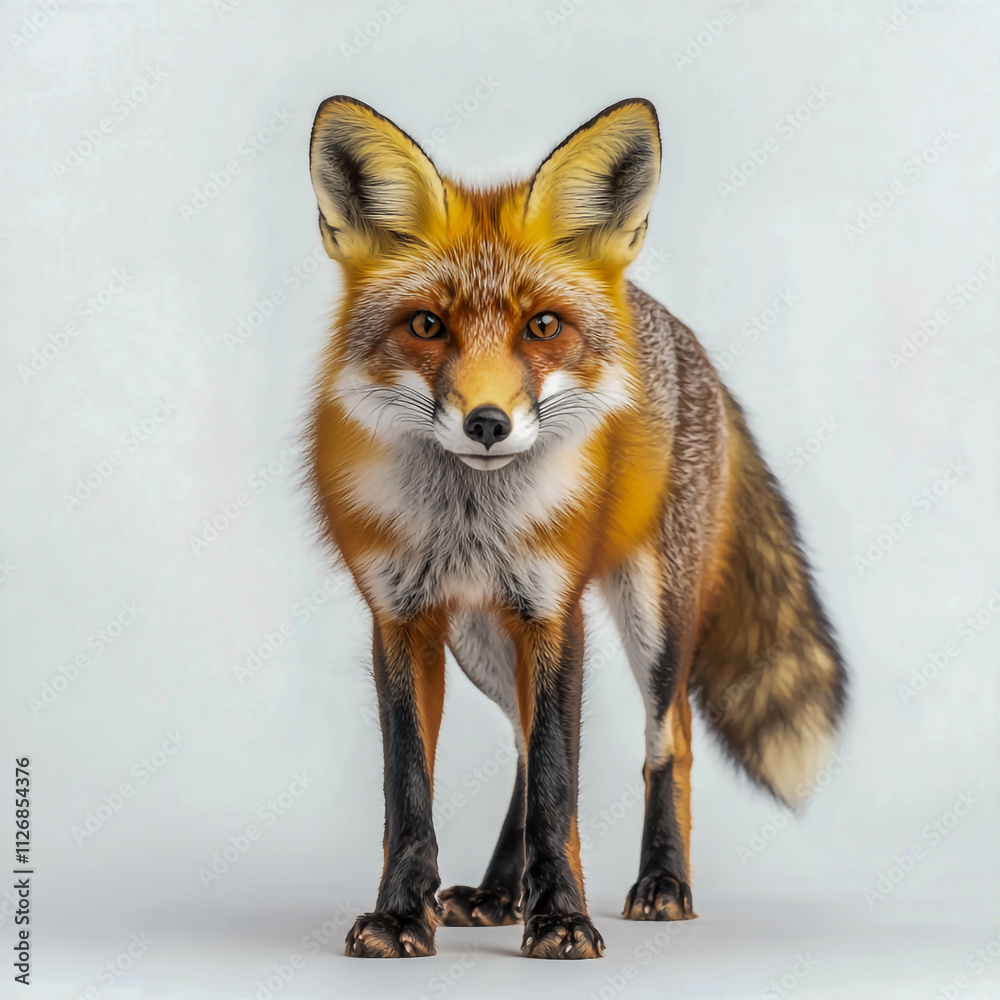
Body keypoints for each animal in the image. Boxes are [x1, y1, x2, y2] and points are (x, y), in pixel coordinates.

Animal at [305, 95, 847, 960]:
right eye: (425, 326)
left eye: (542, 326)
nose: (487, 423)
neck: (471, 521)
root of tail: (669, 325)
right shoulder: (402, 618)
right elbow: (410, 792)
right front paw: (401, 916)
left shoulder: (555, 612)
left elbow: (561, 788)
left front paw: (562, 917)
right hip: (483, 641)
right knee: (524, 751)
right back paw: (499, 893)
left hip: (655, 613)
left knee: (670, 738)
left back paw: (662, 884)